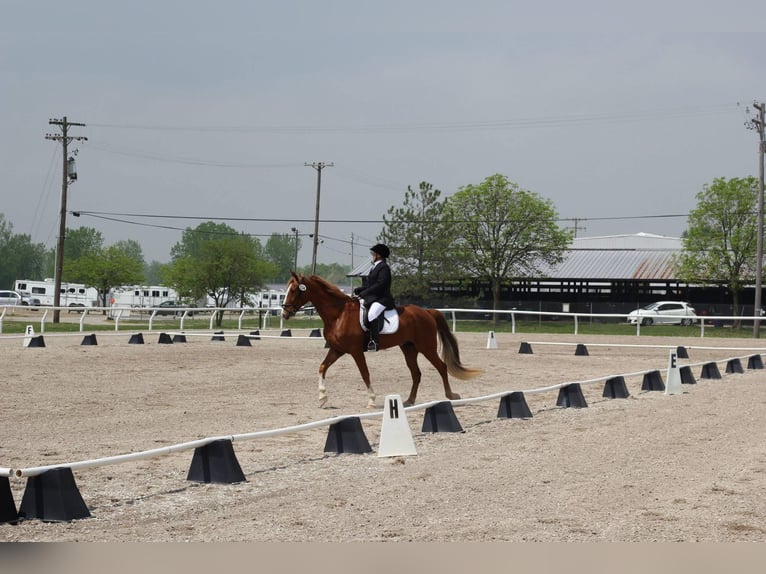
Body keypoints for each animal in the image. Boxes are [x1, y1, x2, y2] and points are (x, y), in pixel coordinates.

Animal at [284, 274, 484, 410]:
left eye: (294, 290)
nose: (285, 313)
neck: (338, 314)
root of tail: (427, 312)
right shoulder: (337, 349)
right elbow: (322, 367)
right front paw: (322, 398)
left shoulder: (355, 351)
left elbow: (365, 373)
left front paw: (372, 401)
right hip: (409, 348)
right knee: (416, 373)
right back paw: (409, 401)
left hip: (426, 347)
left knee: (441, 367)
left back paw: (451, 396)